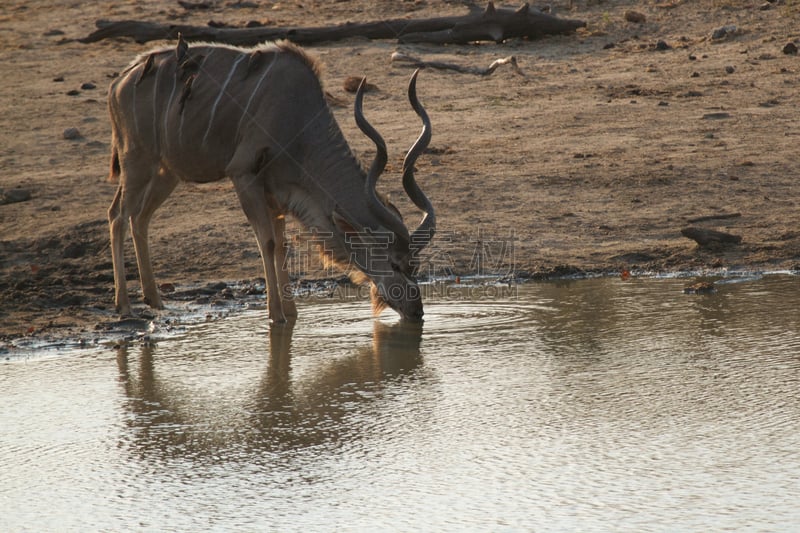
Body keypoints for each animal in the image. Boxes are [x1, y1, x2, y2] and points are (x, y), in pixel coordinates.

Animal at [107, 40, 434, 320]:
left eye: (414, 265)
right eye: (394, 263)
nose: (416, 310)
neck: (298, 120)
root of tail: (120, 80)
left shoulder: (278, 192)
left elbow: (282, 245)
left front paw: (291, 312)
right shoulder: (244, 175)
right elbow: (267, 242)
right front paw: (276, 315)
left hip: (167, 171)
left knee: (140, 217)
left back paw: (154, 299)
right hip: (136, 160)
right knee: (118, 215)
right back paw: (124, 306)